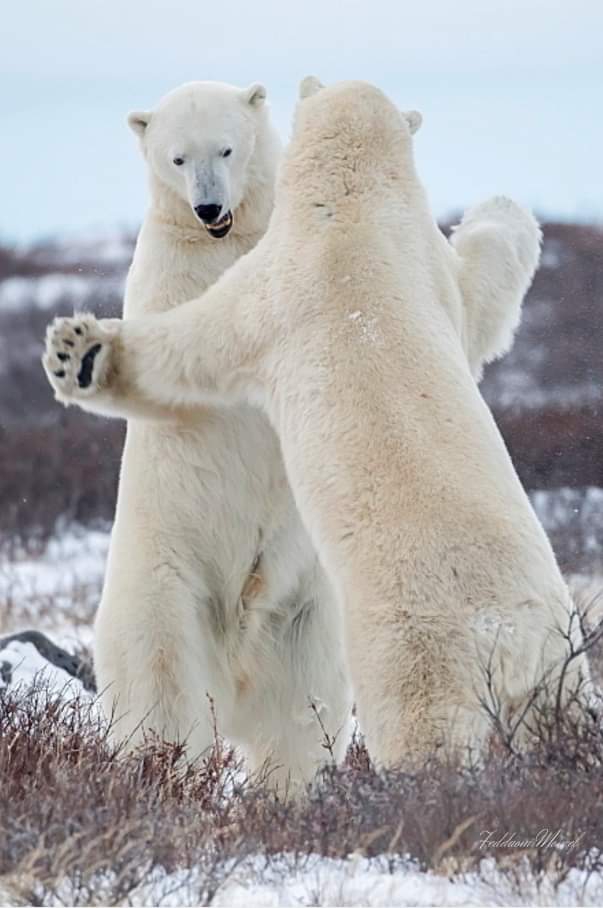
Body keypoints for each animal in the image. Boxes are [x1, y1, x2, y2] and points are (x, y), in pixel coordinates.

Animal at [42, 77, 562, 769]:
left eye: (227, 148)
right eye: (177, 158)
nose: (209, 208)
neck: (348, 217)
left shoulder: (286, 274)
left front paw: (84, 352)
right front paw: (81, 353)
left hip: (330, 625)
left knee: (313, 723)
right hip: (165, 587)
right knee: (165, 702)